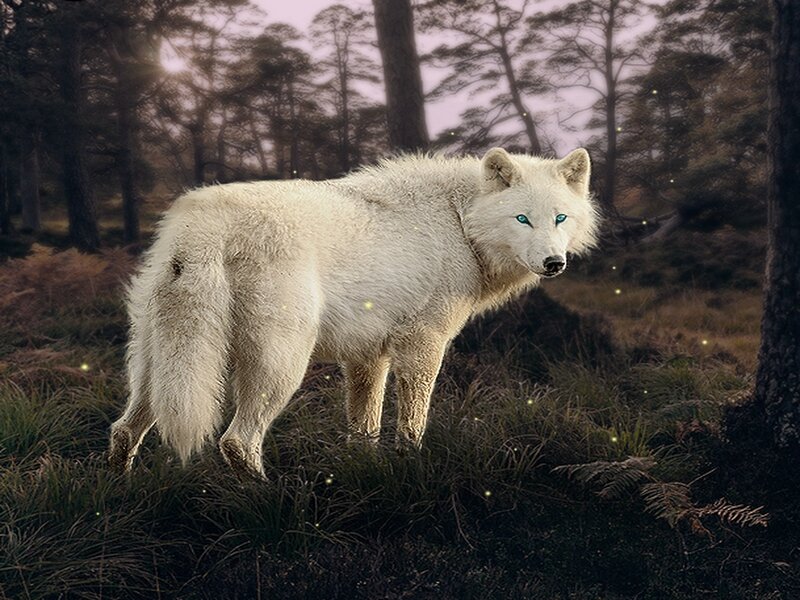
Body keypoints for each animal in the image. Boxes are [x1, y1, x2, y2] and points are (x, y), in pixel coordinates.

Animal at [108, 147, 599, 478]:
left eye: (559, 218)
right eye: (522, 219)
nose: (554, 263)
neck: (459, 223)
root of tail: (202, 223)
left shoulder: (367, 357)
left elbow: (364, 428)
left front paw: (366, 473)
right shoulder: (422, 346)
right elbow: (412, 425)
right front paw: (409, 468)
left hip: (158, 367)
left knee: (123, 430)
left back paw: (122, 491)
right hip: (281, 366)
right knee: (236, 442)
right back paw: (271, 498)